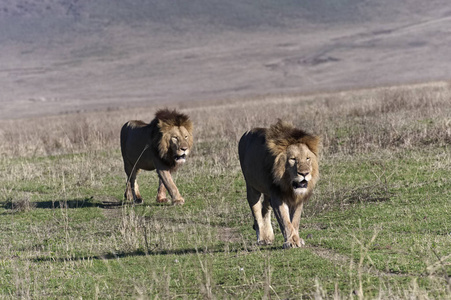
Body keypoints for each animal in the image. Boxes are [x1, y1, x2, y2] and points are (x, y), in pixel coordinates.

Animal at [240, 119, 322, 248]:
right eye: (293, 159)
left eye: (307, 158)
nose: (304, 173)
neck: (288, 184)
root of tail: (246, 133)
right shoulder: (277, 196)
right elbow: (285, 220)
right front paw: (291, 241)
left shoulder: (297, 198)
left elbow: (295, 220)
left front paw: (297, 239)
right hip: (252, 187)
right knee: (256, 212)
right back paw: (262, 238)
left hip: (267, 192)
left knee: (265, 209)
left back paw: (268, 236)